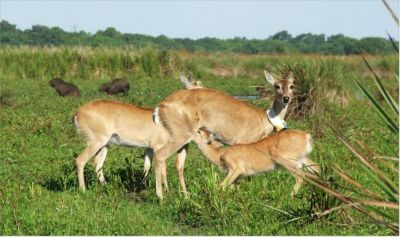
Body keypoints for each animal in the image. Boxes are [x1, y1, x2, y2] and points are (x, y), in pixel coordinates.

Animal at [154, 70, 296, 198]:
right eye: (276, 86)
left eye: (291, 85)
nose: (286, 98)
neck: (264, 119)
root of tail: (160, 107)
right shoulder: (243, 142)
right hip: (180, 136)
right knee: (160, 155)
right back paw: (161, 197)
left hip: (184, 140)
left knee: (178, 164)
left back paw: (185, 196)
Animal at [192, 128, 320, 196]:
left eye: (199, 131)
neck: (219, 154)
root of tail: (306, 135)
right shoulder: (237, 177)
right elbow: (232, 189)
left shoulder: (236, 170)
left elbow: (221, 186)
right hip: (304, 159)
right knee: (317, 168)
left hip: (289, 162)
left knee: (300, 176)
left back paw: (290, 196)